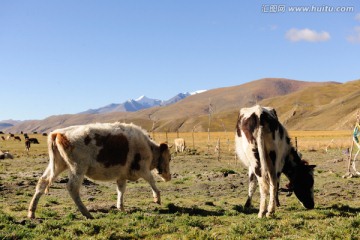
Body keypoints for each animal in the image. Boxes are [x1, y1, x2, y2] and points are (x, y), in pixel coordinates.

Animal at [28, 123, 172, 218]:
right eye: (170, 158)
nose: (169, 177)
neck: (149, 148)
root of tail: (58, 133)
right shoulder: (143, 169)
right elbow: (152, 180)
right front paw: (157, 198)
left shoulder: (122, 176)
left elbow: (121, 190)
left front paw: (121, 207)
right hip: (77, 168)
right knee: (72, 188)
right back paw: (87, 213)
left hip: (59, 165)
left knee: (43, 182)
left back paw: (31, 212)